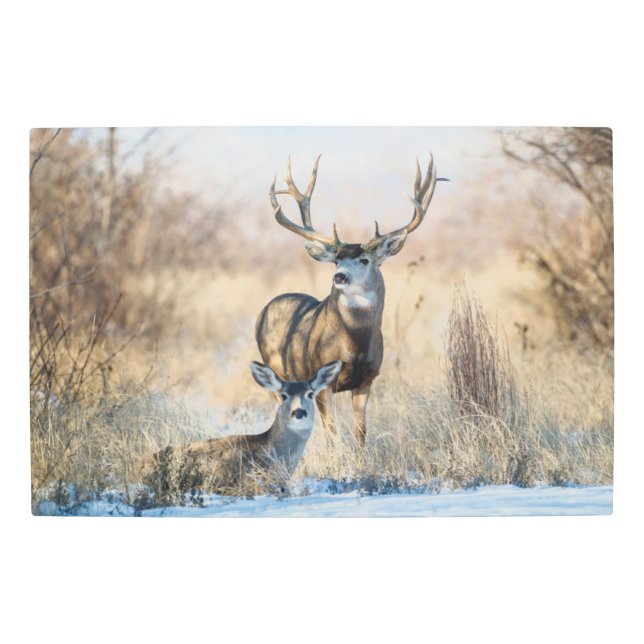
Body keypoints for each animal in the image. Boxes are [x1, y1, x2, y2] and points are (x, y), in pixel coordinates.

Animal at [256, 153, 444, 448]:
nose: (339, 276)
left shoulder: (367, 379)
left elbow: (361, 433)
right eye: (337, 260)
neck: (354, 344)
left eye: (364, 259)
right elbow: (332, 434)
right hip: (276, 370)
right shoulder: (321, 382)